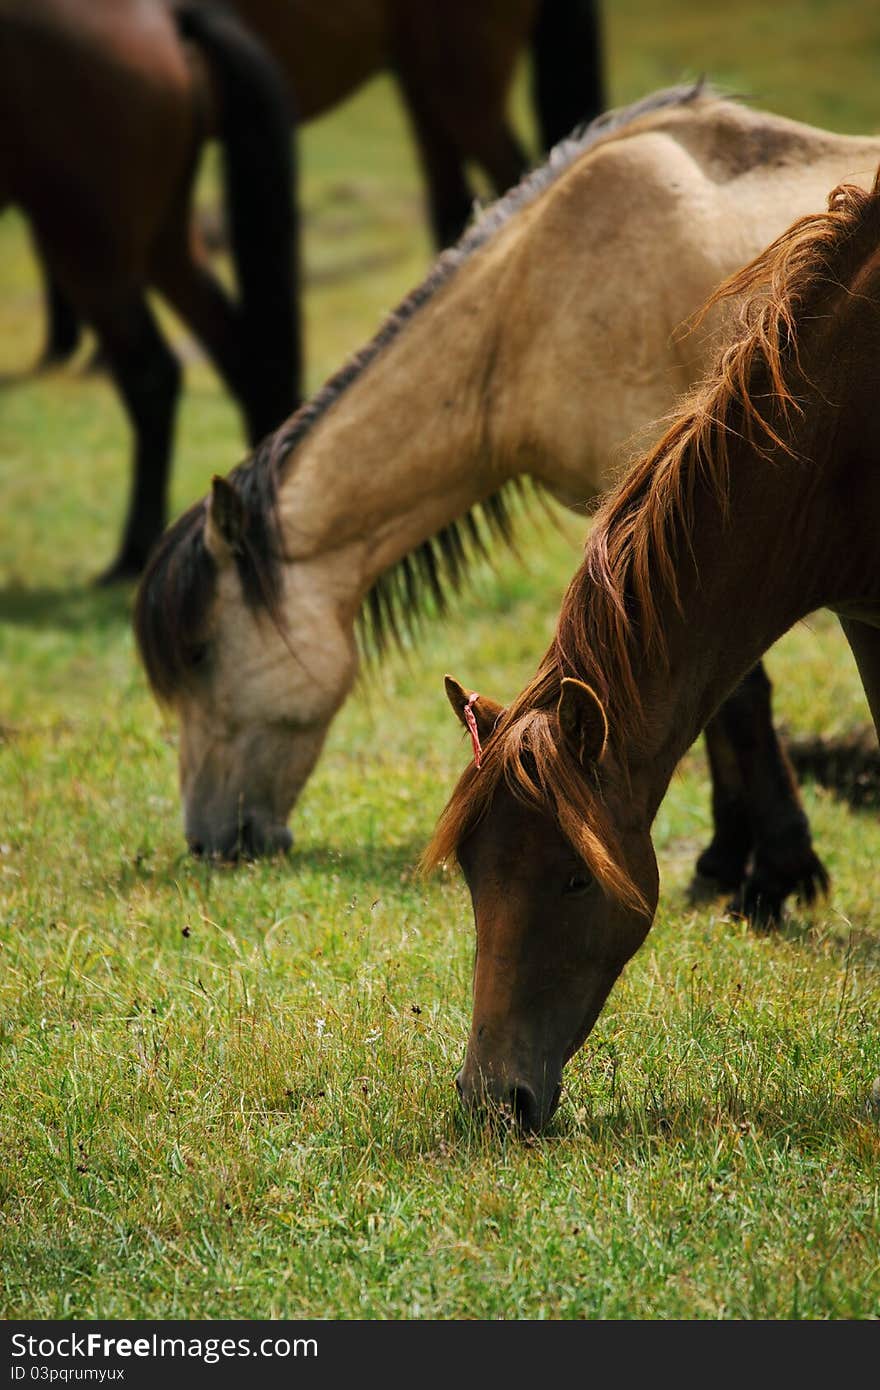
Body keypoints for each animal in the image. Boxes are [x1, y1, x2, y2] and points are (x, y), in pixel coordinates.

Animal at [0, 0, 301, 581]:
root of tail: (163, 18)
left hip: (89, 243)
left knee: (153, 376)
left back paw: (132, 553)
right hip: (164, 237)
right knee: (239, 352)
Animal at [132, 86, 880, 917]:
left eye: (202, 653)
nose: (211, 841)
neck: (535, 297)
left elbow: (741, 697)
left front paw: (776, 876)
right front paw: (726, 863)